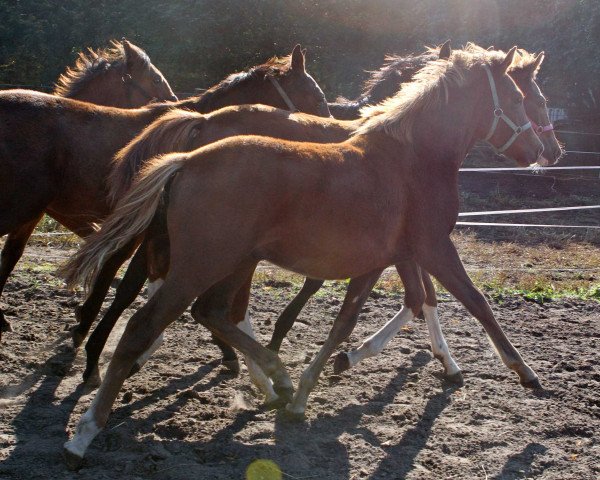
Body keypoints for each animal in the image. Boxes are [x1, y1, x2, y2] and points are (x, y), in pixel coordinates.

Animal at [63, 44, 548, 464]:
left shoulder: (382, 259)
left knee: (210, 312)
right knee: (145, 324)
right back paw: (84, 433)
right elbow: (476, 303)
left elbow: (353, 321)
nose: (541, 152)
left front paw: (304, 394)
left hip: (233, 262)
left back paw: (275, 377)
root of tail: (186, 160)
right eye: (520, 98)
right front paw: (526, 374)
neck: (409, 158)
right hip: (202, 265)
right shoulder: (433, 247)